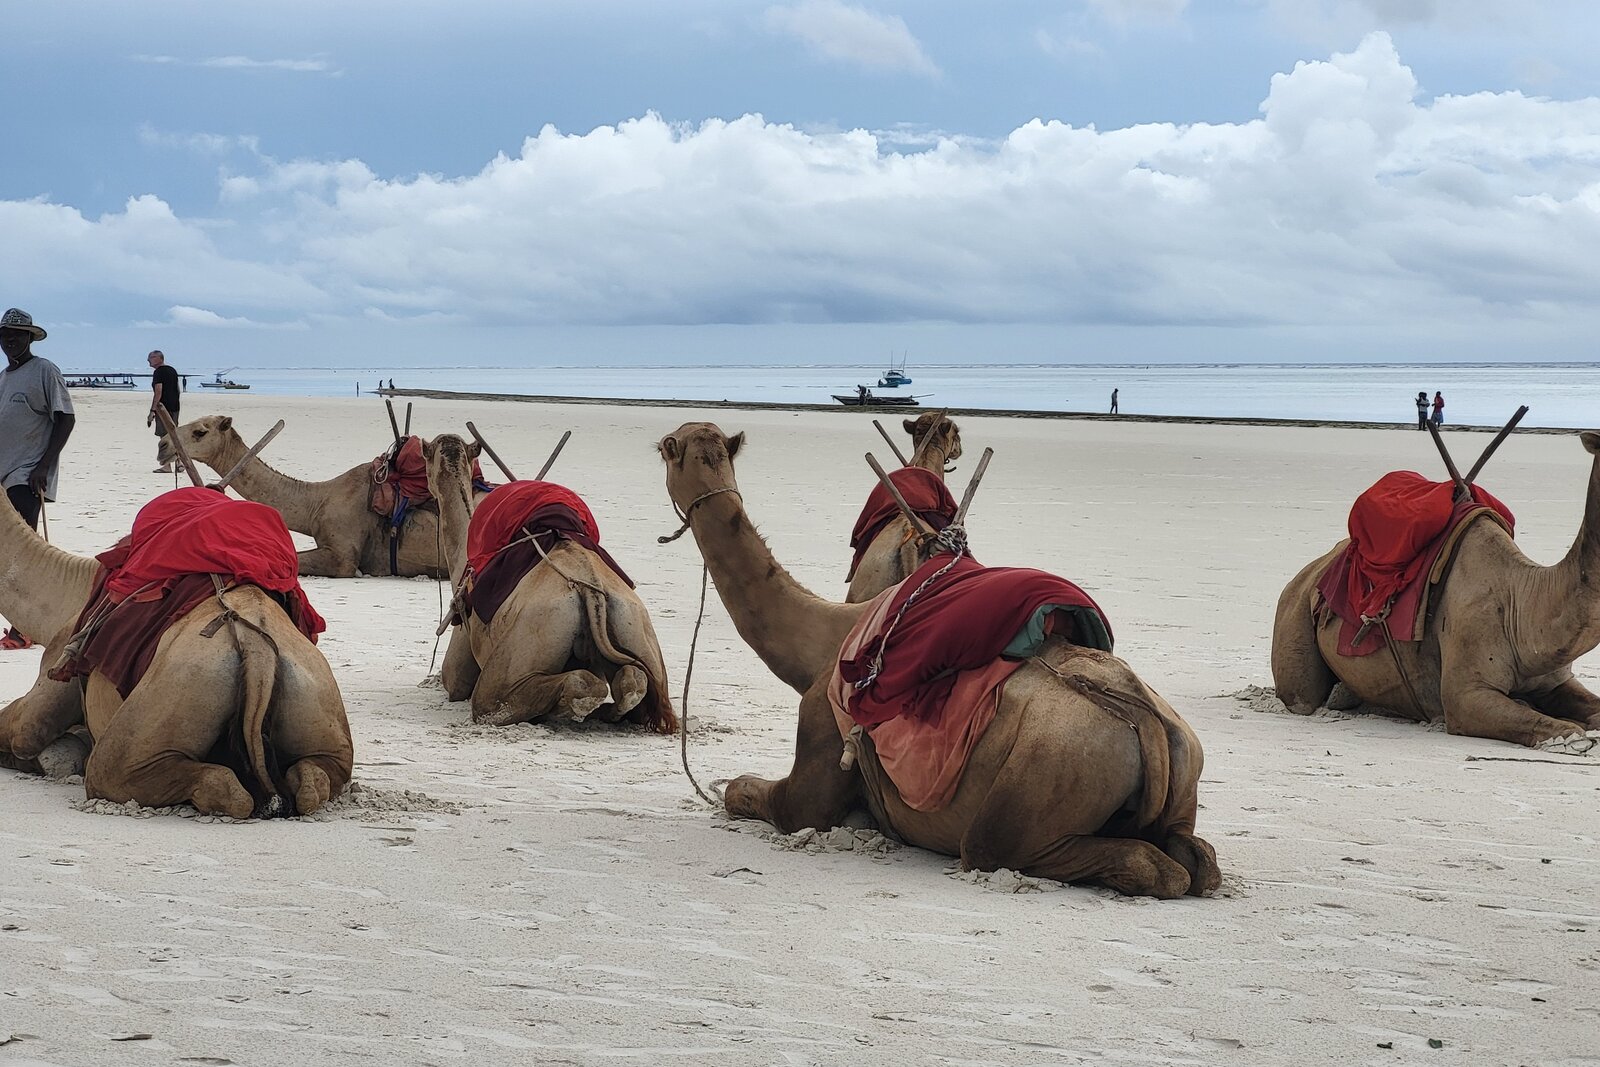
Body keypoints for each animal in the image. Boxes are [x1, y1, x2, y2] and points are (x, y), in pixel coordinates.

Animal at [421, 434, 676, 731]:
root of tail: (591, 592)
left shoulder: (461, 644)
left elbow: (453, 681)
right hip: (637, 627)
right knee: (633, 681)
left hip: (532, 635)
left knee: (495, 701)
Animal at [1272, 432, 1600, 752]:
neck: (1521, 606)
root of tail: (1303, 576)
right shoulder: (1466, 695)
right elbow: (1568, 732)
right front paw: (1572, 734)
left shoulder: (1555, 681)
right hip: (1296, 624)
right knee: (1303, 696)